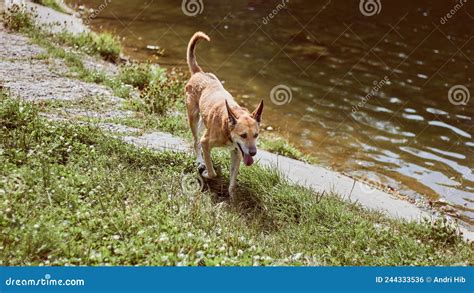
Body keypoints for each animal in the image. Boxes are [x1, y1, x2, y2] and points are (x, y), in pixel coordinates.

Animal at [184, 31, 264, 196]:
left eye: (256, 135)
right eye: (243, 135)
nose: (253, 153)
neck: (227, 126)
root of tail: (199, 73)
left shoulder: (238, 152)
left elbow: (233, 181)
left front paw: (232, 197)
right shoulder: (206, 141)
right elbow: (212, 171)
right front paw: (206, 172)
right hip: (193, 118)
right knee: (195, 141)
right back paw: (200, 161)